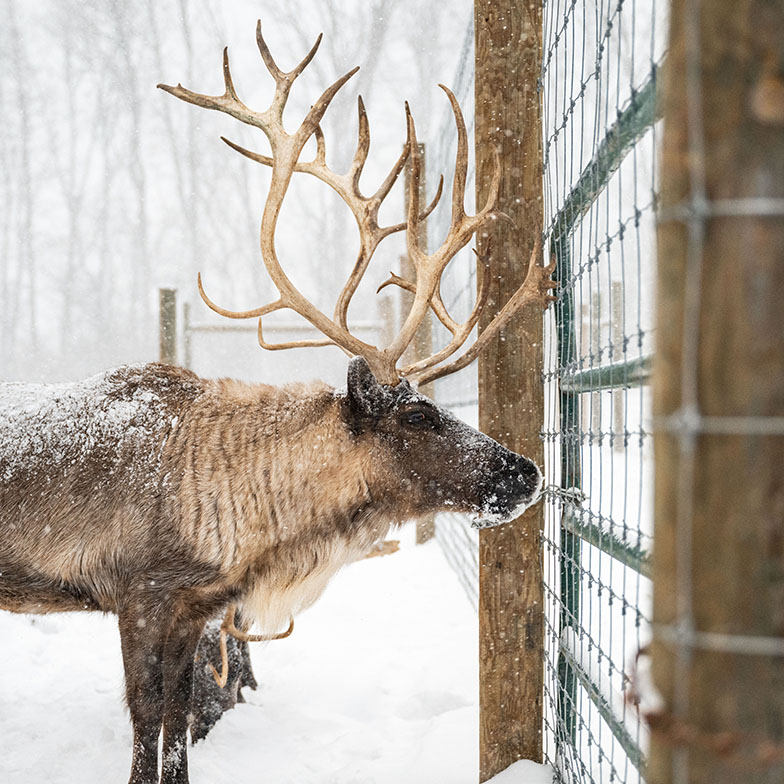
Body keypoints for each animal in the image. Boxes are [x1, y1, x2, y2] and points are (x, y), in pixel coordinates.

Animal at [0, 22, 557, 784]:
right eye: (417, 414)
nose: (526, 473)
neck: (250, 517)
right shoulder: (141, 595)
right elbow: (146, 722)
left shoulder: (194, 609)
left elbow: (177, 722)